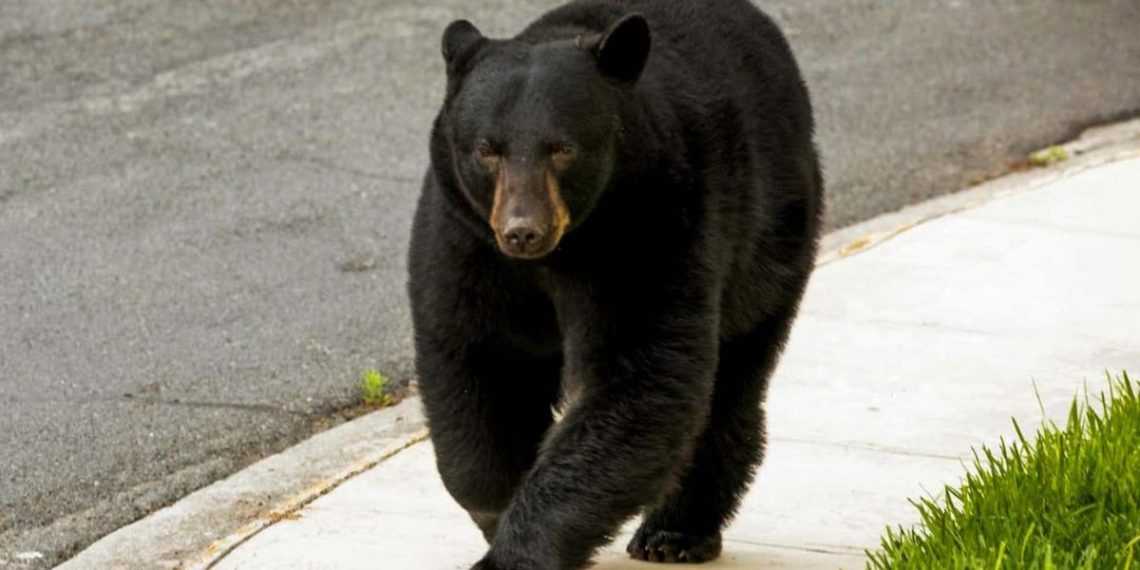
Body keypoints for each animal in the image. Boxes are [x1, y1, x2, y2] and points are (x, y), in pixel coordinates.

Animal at [407, 0, 822, 568]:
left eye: (562, 149)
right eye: (487, 150)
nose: (522, 230)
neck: (563, 252)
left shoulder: (652, 225)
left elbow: (639, 379)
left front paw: (517, 550)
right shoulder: (466, 240)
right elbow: (478, 362)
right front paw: (497, 509)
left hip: (771, 239)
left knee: (731, 382)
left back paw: (677, 532)